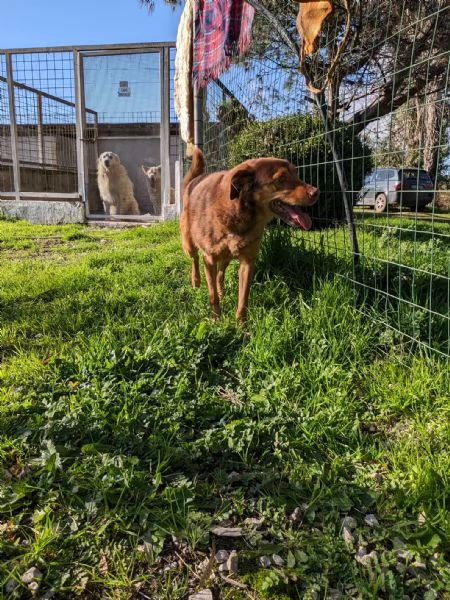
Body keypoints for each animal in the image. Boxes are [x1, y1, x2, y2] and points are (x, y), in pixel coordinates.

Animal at [181, 147, 318, 322]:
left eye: (296, 173)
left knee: (220, 274)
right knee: (195, 259)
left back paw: (221, 292)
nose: (316, 192)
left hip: (226, 257)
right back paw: (196, 282)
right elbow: (212, 296)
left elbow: (243, 299)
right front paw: (216, 320)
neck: (238, 214)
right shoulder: (209, 259)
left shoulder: (248, 262)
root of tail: (195, 179)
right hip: (189, 243)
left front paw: (241, 324)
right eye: (281, 178)